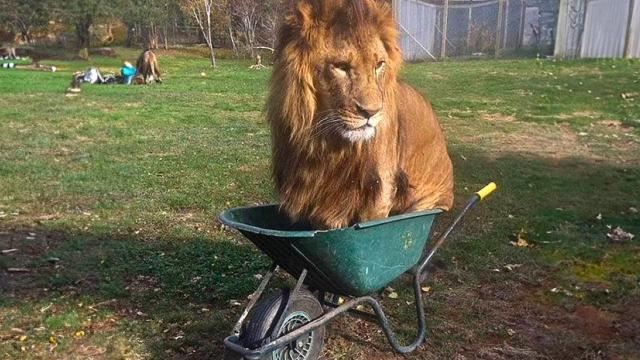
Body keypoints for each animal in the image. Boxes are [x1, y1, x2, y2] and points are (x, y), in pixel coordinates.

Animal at [266, 0, 456, 229]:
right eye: (341, 66)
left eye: (379, 65)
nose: (372, 112)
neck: (327, 144)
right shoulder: (320, 199)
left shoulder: (379, 191)